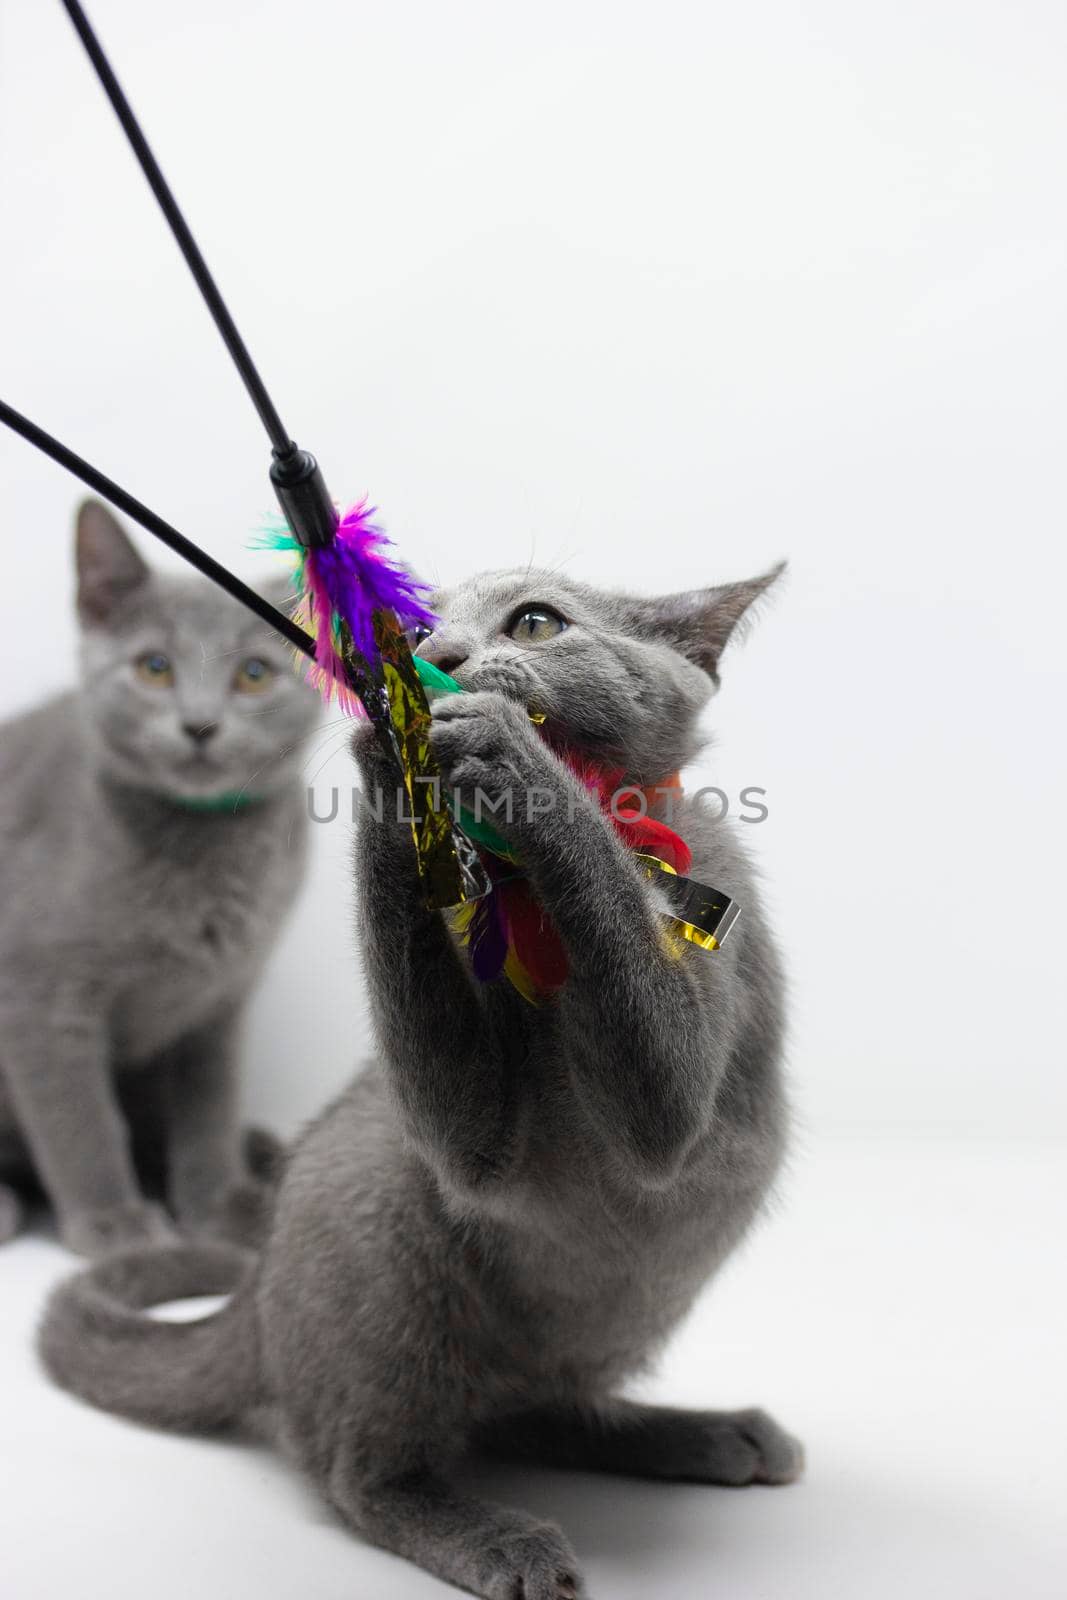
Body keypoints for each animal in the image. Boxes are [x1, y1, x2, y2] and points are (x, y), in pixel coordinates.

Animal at [0, 505, 319, 1254]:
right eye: (154, 668)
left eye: (254, 674)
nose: (199, 725)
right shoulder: (35, 993)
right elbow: (78, 1118)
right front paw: (116, 1226)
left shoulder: (220, 999)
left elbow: (207, 1108)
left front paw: (215, 1207)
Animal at [39, 556, 799, 1593]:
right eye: (418, 621)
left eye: (535, 622)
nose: (437, 656)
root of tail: (255, 1299)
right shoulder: (465, 1138)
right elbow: (464, 1139)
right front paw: (390, 749)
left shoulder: (696, 992)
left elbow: (660, 1103)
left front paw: (513, 758)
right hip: (372, 1199)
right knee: (364, 1470)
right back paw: (507, 1536)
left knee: (538, 1411)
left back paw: (700, 1435)